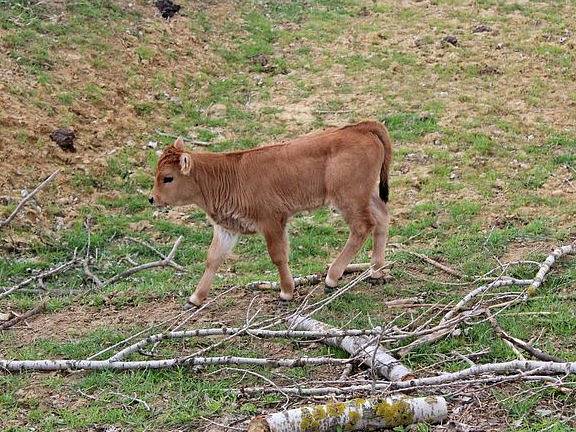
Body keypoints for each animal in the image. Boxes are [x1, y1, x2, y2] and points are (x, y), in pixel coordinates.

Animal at [150, 120, 392, 308]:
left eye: (168, 177)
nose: (152, 198)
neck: (226, 176)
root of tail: (359, 128)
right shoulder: (227, 228)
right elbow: (213, 259)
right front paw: (195, 298)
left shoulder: (272, 222)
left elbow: (278, 255)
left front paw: (286, 292)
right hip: (367, 194)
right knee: (381, 218)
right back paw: (376, 271)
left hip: (348, 198)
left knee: (362, 227)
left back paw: (332, 277)